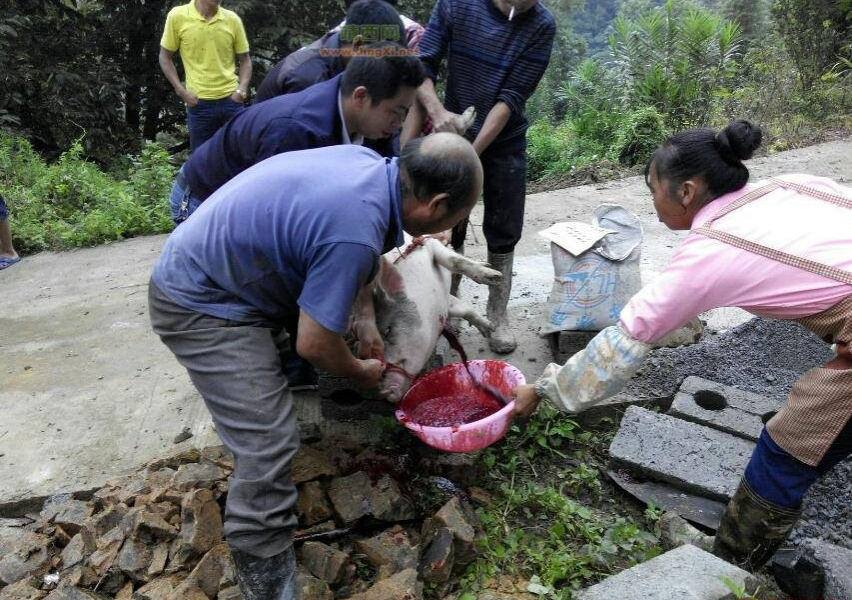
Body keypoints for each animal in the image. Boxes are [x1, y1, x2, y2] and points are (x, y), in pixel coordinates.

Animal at [352, 236, 502, 404]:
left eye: (388, 330)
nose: (384, 392)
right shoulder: (443, 303)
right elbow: (461, 307)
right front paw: (489, 330)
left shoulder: (429, 244)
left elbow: (453, 260)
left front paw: (497, 278)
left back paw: (489, 267)